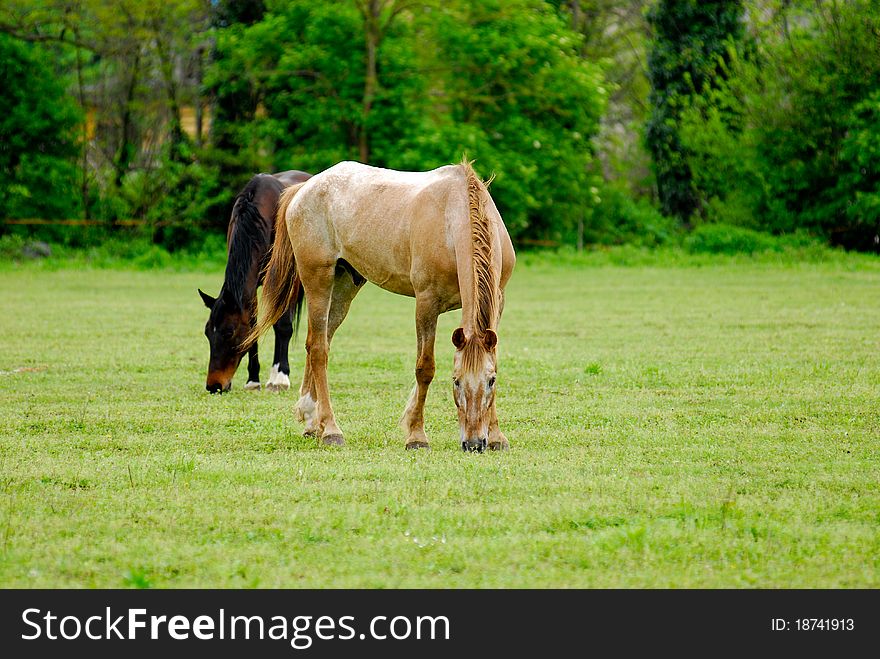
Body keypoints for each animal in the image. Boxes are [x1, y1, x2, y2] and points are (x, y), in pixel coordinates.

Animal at [198, 171, 312, 398]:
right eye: (207, 332)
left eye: (229, 332)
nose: (214, 385)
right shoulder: (249, 291)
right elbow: (253, 328)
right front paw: (253, 380)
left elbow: (283, 326)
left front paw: (279, 378)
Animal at [248, 160, 516, 452]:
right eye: (455, 381)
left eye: (490, 381)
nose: (475, 443)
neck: (451, 218)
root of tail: (304, 188)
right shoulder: (426, 303)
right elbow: (425, 368)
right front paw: (416, 435)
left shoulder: (499, 302)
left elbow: (494, 359)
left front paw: (497, 437)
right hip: (318, 279)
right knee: (319, 350)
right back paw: (330, 429)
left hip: (344, 287)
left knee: (319, 341)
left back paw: (311, 422)